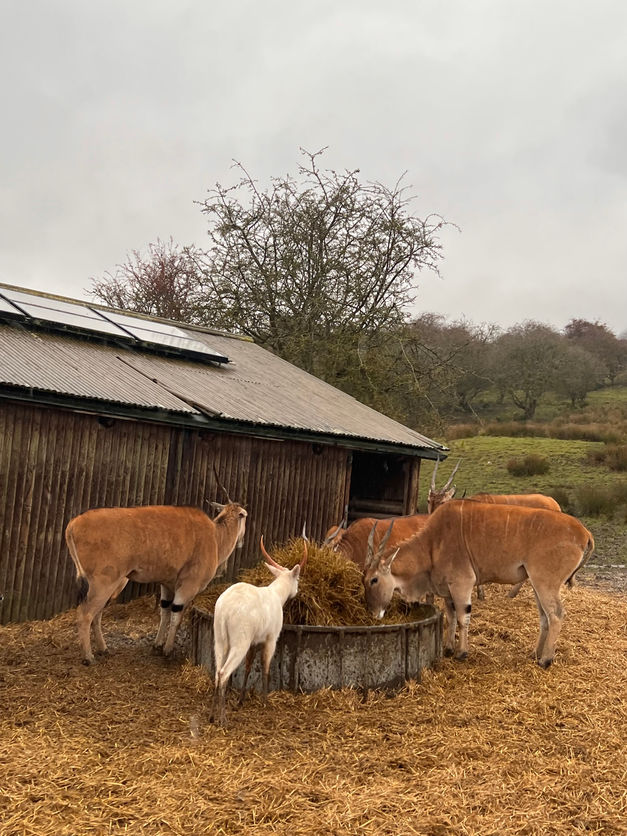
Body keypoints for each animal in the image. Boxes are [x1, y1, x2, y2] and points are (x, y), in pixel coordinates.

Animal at [65, 501, 247, 664]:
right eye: (244, 516)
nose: (241, 542)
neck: (215, 535)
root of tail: (73, 524)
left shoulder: (167, 585)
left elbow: (165, 612)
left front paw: (157, 645)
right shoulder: (188, 586)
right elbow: (176, 617)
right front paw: (167, 650)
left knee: (97, 615)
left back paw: (103, 649)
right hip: (104, 584)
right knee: (85, 615)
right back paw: (88, 657)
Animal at [209, 536, 308, 727]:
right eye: (298, 579)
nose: (297, 591)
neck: (277, 595)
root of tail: (225, 609)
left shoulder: (254, 641)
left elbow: (248, 665)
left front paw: (240, 700)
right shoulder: (271, 638)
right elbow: (265, 665)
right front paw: (265, 701)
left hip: (220, 639)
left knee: (217, 671)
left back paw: (211, 717)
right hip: (240, 641)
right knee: (224, 673)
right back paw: (223, 720)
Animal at [363, 499, 594, 668]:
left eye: (374, 580)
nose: (373, 614)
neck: (433, 542)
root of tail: (584, 532)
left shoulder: (462, 584)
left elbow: (463, 618)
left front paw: (461, 653)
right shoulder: (448, 590)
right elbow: (451, 616)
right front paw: (448, 648)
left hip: (545, 584)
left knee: (556, 614)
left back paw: (546, 660)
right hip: (538, 585)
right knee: (545, 617)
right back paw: (535, 654)